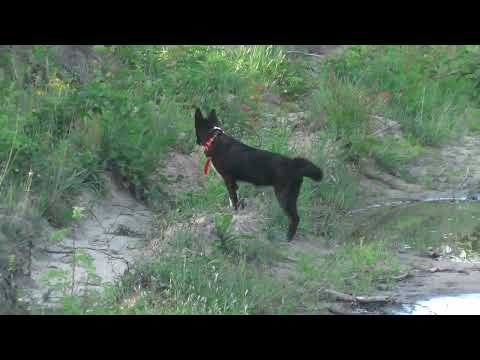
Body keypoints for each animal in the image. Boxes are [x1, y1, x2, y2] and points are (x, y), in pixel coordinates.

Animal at [194, 107, 322, 242]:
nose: (196, 142)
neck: (214, 139)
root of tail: (294, 165)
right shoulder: (235, 183)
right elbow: (235, 200)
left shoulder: (229, 180)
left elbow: (233, 200)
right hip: (292, 195)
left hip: (284, 196)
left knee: (295, 218)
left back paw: (288, 239)